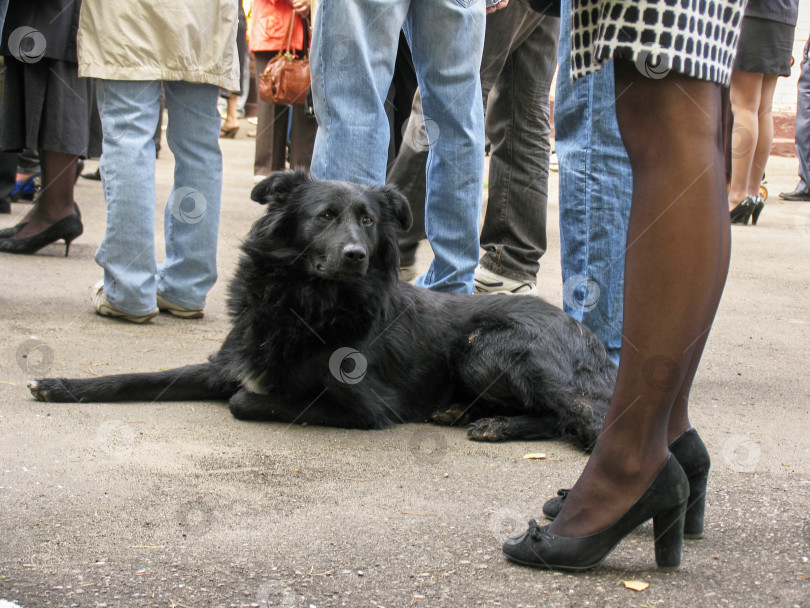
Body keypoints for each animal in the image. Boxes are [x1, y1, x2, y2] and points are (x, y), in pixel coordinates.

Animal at [28, 170, 616, 452]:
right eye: (325, 216)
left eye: (369, 222)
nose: (356, 255)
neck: (304, 302)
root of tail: (583, 333)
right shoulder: (226, 363)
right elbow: (138, 378)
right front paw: (60, 385)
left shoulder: (368, 409)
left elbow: (246, 401)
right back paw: (465, 414)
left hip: (484, 349)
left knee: (572, 414)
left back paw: (496, 424)